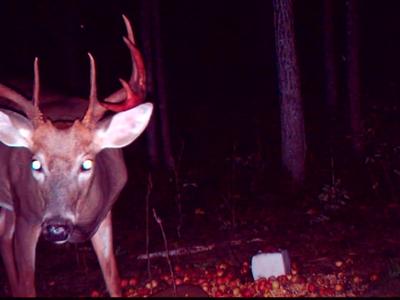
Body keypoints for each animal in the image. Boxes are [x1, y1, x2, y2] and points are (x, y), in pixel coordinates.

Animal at [0, 15, 153, 296]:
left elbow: (113, 280)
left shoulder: (105, 217)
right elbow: (28, 286)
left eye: (87, 163)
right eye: (35, 163)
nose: (56, 227)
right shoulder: (27, 216)